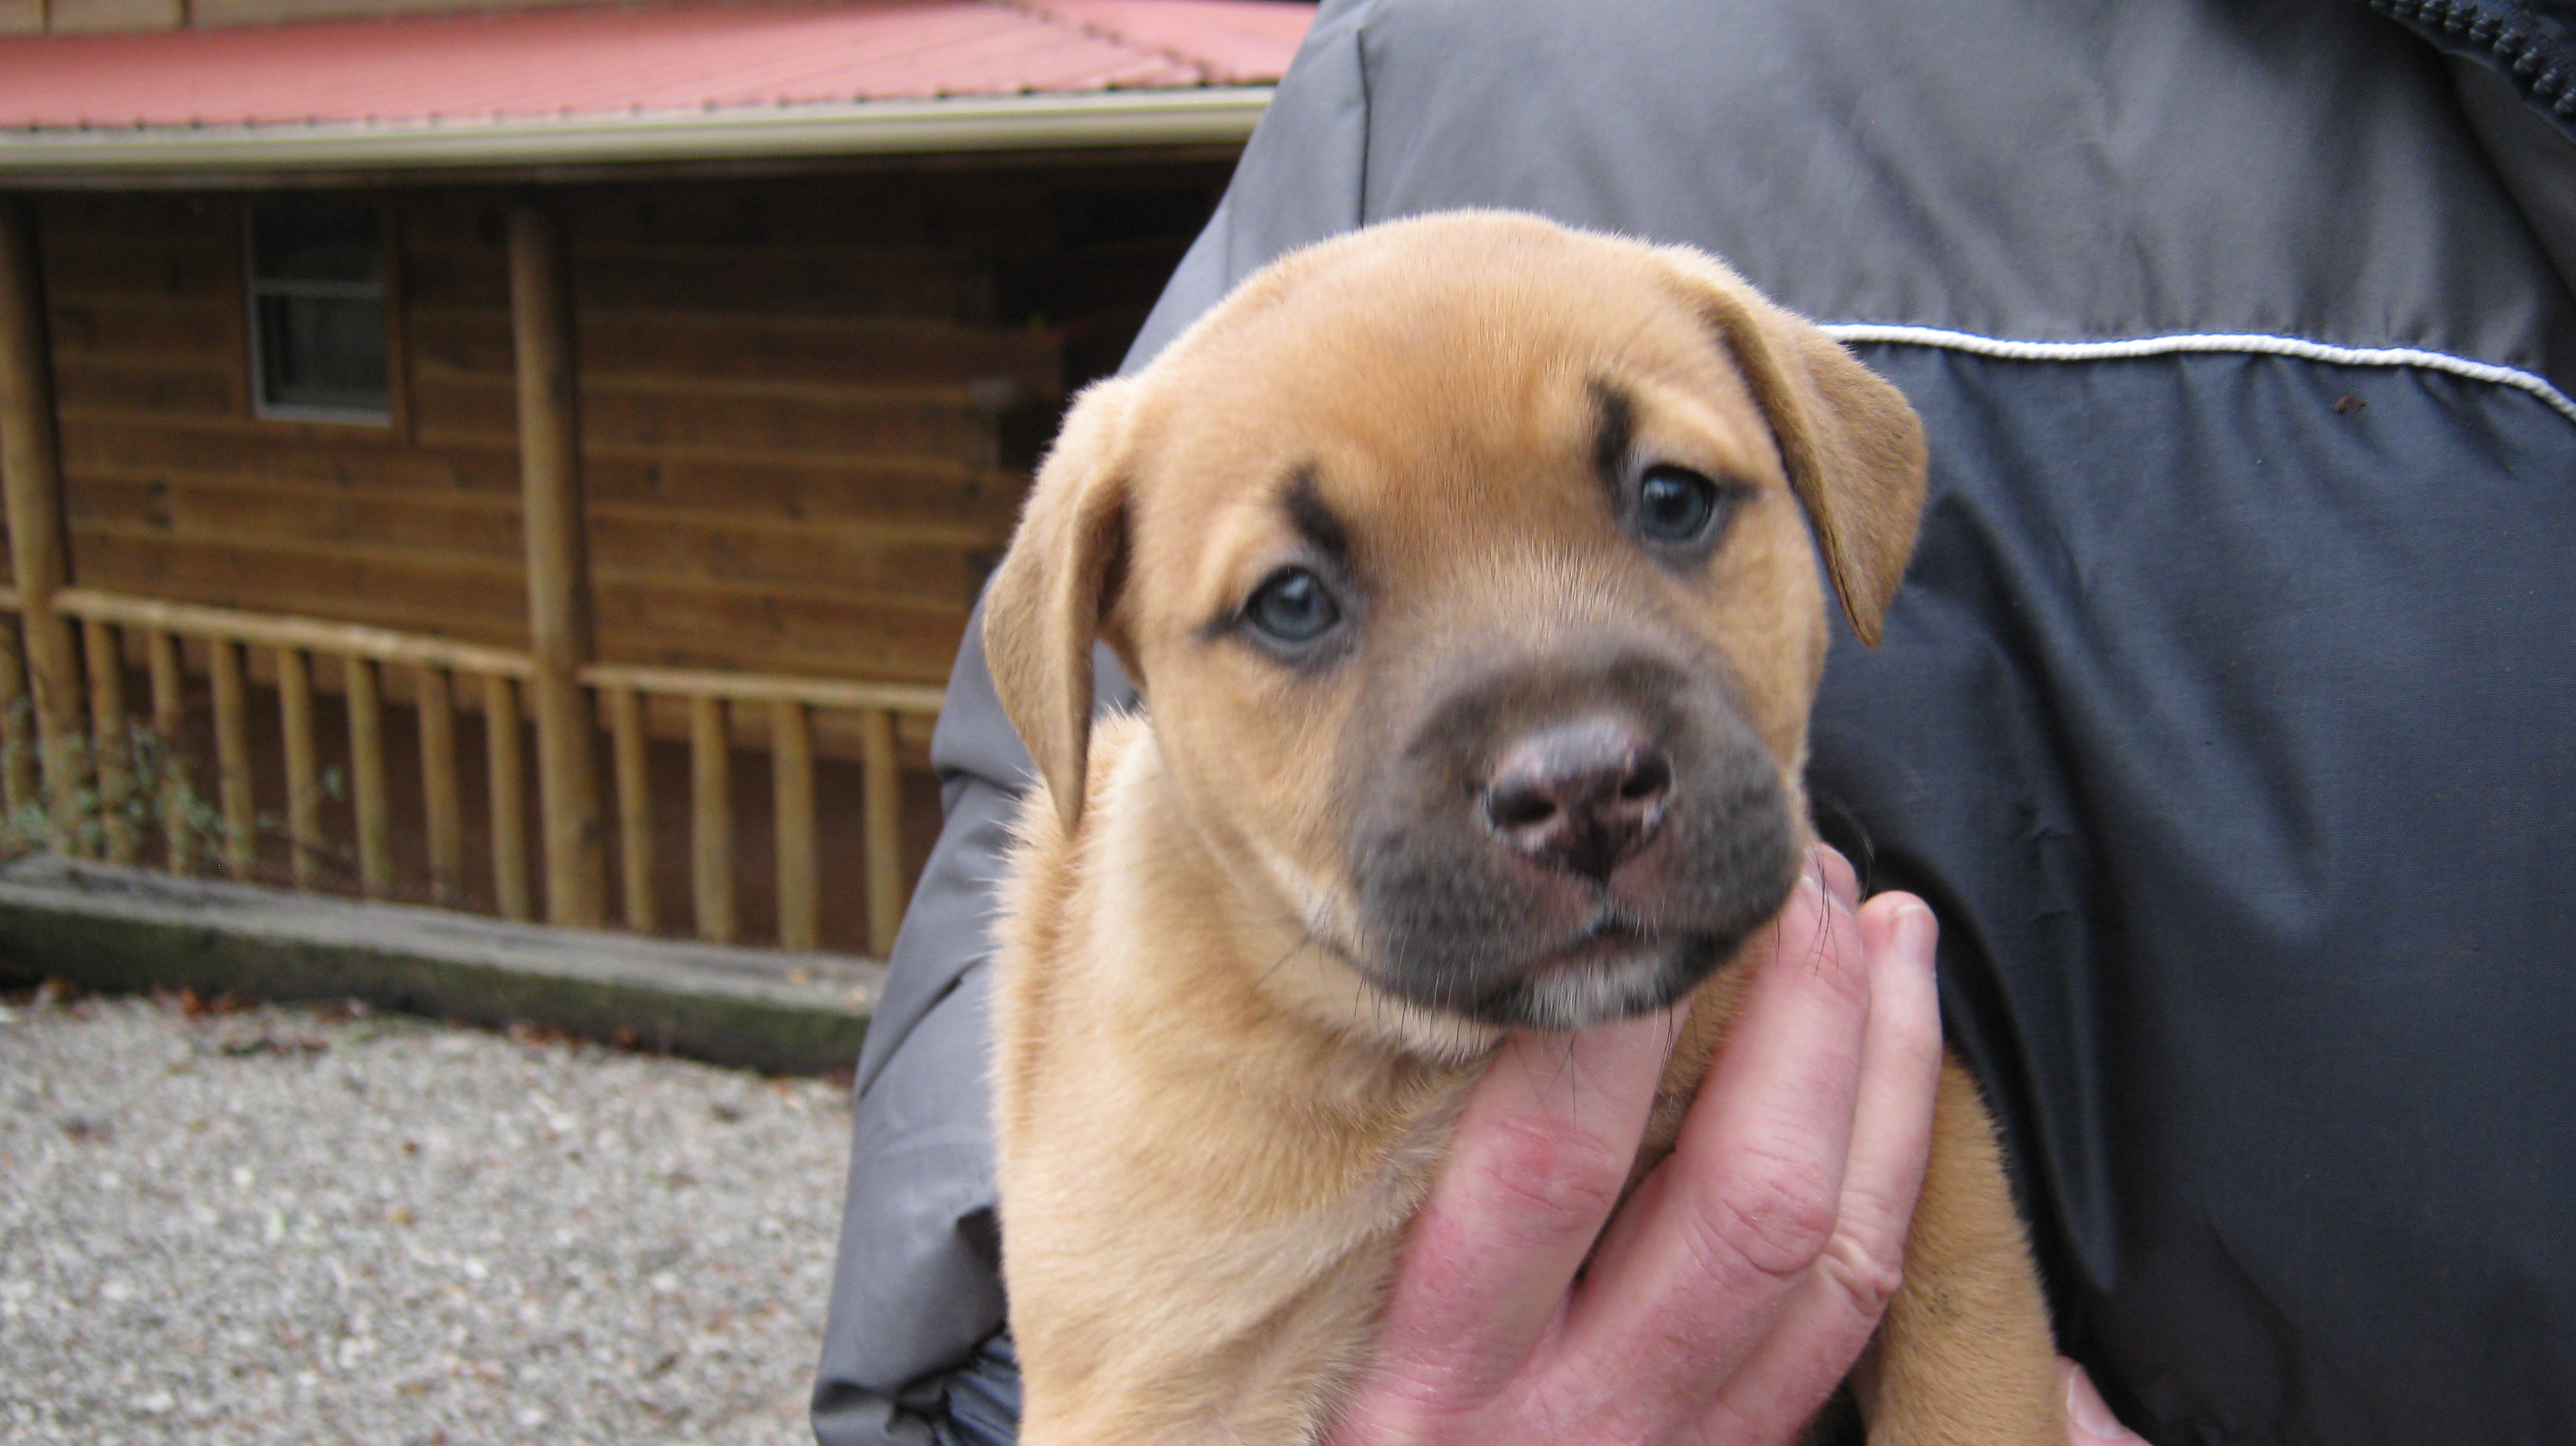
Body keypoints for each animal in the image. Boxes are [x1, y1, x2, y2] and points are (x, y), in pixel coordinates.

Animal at [979, 206, 2050, 1443]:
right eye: (1291, 603)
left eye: (1672, 499)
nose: (1583, 791)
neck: (1430, 1059)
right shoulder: (1165, 1382)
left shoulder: (1947, 1156)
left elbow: (1974, 1374)